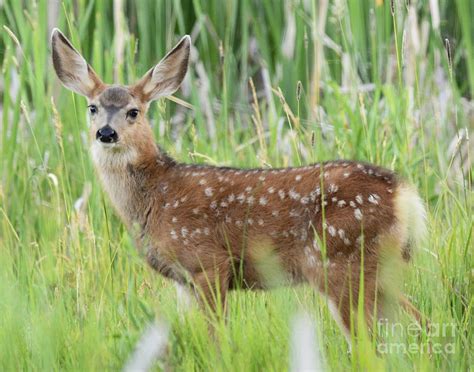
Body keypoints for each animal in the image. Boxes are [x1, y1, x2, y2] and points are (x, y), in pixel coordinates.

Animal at [50, 29, 428, 342]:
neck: (155, 197)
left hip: (341, 260)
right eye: (92, 108)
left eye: (133, 112)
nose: (106, 133)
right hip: (377, 269)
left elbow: (218, 338)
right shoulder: (184, 281)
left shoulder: (208, 262)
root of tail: (405, 196)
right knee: (415, 321)